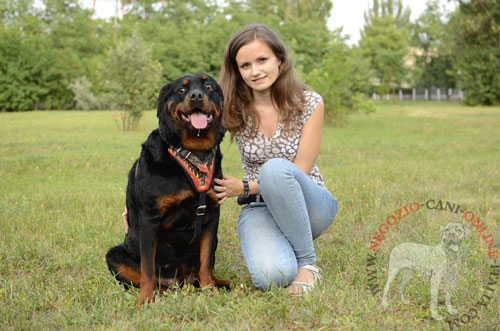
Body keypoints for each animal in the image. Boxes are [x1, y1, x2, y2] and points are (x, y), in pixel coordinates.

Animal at [107, 74, 230, 310]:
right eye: (181, 90)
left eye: (208, 86)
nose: (196, 96)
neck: (194, 153)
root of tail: (179, 281)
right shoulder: (149, 219)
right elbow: (147, 270)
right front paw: (144, 301)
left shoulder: (211, 215)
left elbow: (206, 262)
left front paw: (210, 291)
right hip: (115, 255)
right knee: (148, 280)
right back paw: (157, 294)